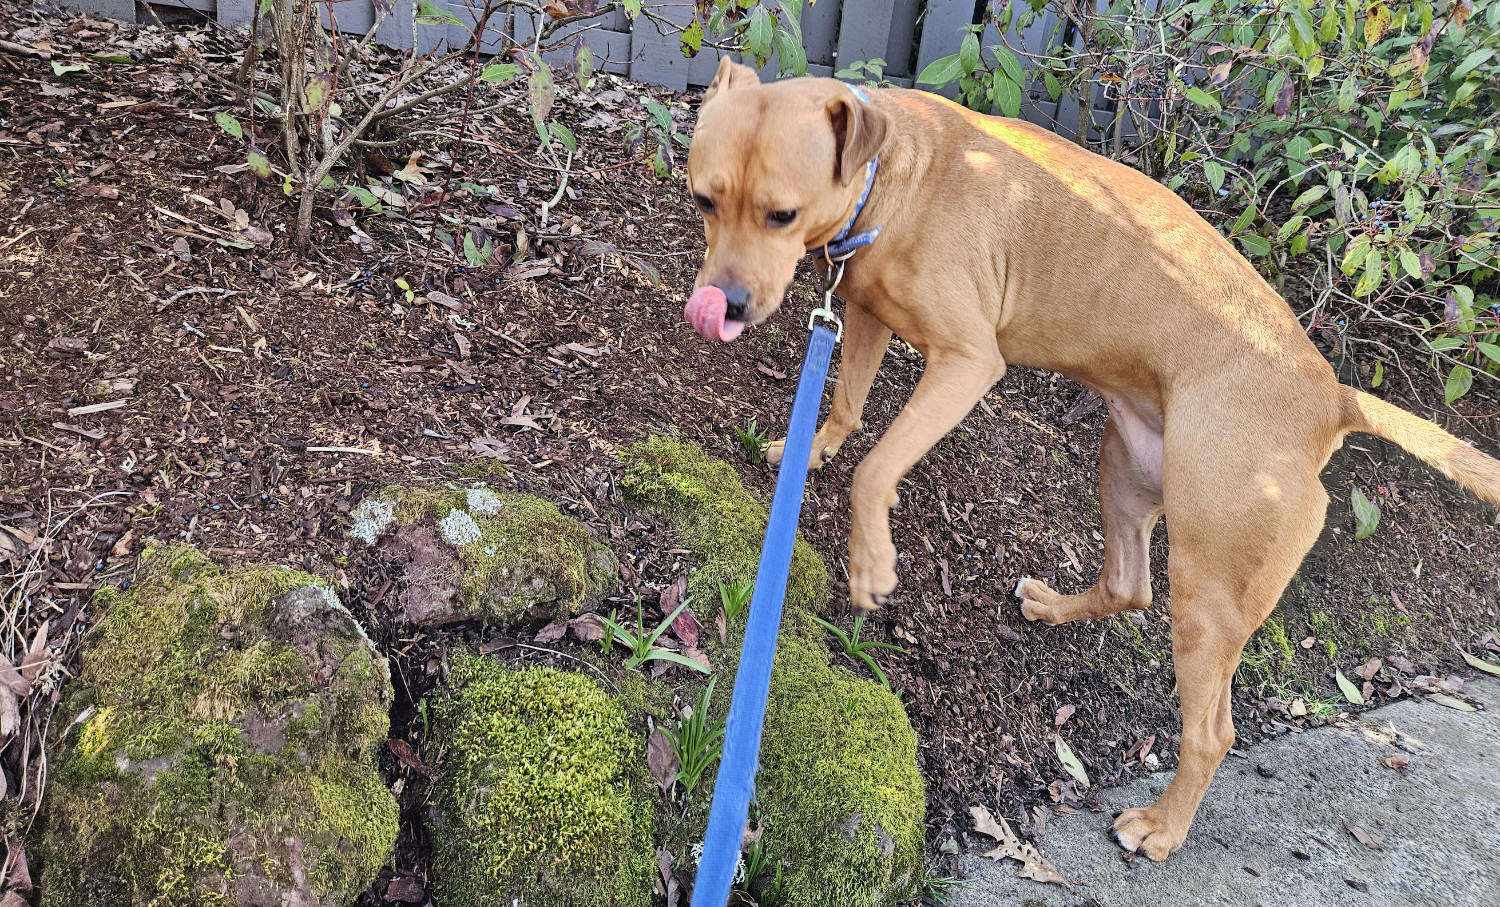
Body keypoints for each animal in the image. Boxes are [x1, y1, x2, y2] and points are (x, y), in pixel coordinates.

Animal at [684, 58, 1500, 863]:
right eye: (704, 200)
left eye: (781, 214)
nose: (721, 304)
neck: (890, 178)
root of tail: (1331, 399)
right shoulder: (863, 313)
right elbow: (849, 407)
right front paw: (809, 450)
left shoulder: (966, 364)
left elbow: (876, 468)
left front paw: (872, 561)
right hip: (1124, 472)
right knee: (1127, 584)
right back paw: (1051, 607)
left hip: (1208, 592)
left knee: (1213, 730)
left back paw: (1162, 829)